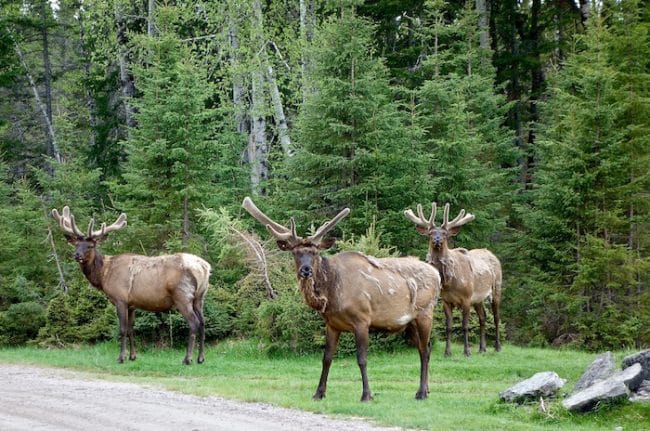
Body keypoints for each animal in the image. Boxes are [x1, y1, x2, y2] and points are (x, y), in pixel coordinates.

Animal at [53, 206, 210, 364]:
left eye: (90, 246)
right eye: (76, 244)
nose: (77, 255)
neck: (104, 275)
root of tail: (204, 268)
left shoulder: (120, 299)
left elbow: (122, 329)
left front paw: (121, 357)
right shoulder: (132, 304)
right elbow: (130, 329)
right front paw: (133, 356)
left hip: (182, 296)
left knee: (194, 323)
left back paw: (187, 359)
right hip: (199, 297)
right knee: (203, 322)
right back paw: (201, 358)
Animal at [243, 197, 440, 404]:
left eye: (315, 253)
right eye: (295, 253)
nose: (306, 270)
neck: (332, 295)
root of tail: (437, 274)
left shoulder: (362, 319)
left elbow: (361, 358)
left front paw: (366, 395)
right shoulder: (332, 324)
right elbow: (327, 358)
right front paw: (319, 393)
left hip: (426, 312)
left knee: (425, 350)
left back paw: (421, 392)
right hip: (409, 322)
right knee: (424, 349)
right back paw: (426, 390)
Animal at [404, 202, 502, 358]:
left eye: (444, 234)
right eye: (431, 233)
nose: (437, 240)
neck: (450, 283)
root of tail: (491, 254)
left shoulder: (467, 298)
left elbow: (465, 325)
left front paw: (467, 351)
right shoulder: (446, 300)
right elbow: (448, 327)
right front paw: (447, 352)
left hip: (496, 287)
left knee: (496, 317)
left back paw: (497, 347)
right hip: (478, 298)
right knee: (483, 317)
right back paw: (482, 348)